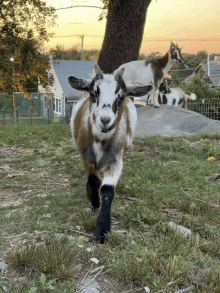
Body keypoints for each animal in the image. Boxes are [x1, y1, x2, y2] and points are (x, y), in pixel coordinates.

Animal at [68, 65, 152, 243]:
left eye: (121, 96)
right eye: (93, 94)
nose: (105, 120)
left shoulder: (116, 160)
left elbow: (107, 190)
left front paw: (102, 230)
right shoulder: (87, 158)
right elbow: (93, 181)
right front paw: (94, 204)